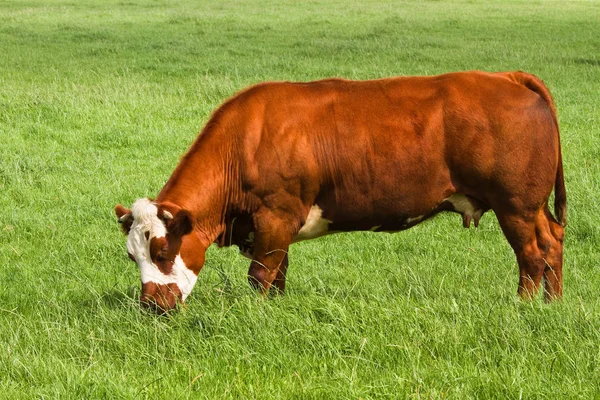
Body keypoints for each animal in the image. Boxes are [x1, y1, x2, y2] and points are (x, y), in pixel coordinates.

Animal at [113, 70, 568, 314]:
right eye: (133, 255)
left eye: (162, 252)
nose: (151, 304)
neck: (247, 140)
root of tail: (507, 78)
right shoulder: (273, 228)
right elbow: (278, 274)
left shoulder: (275, 215)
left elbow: (260, 276)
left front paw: (258, 316)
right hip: (534, 207)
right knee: (552, 243)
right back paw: (553, 304)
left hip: (515, 206)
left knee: (531, 255)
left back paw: (524, 307)